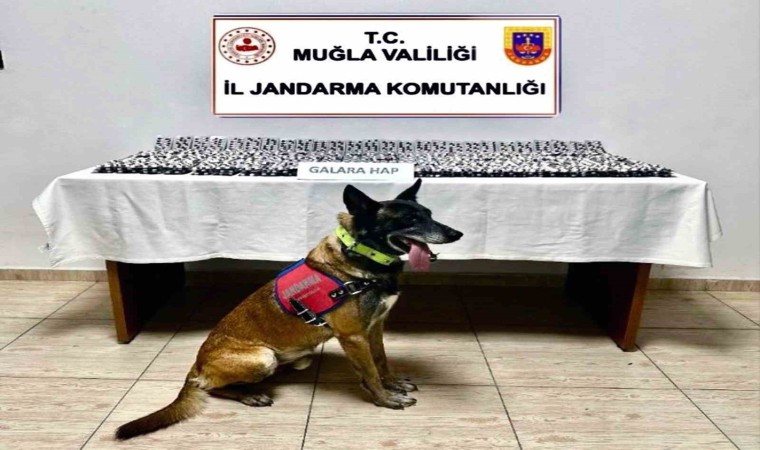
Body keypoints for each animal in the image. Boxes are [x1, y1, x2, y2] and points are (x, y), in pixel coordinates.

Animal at [116, 179, 463, 440]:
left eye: (429, 214)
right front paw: (385, 399)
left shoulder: (375, 328)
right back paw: (250, 394)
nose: (456, 233)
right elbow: (370, 373)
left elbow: (381, 362)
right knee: (213, 387)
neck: (362, 261)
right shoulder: (353, 337)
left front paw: (392, 384)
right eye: (410, 220)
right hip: (261, 357)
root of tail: (197, 364)